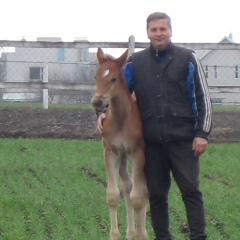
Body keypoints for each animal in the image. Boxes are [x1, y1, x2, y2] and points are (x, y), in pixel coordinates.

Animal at [92, 48, 148, 240]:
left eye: (114, 78)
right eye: (96, 77)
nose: (97, 102)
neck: (121, 119)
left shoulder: (137, 153)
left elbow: (138, 197)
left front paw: (140, 235)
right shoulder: (112, 152)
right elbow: (113, 194)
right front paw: (116, 235)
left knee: (144, 190)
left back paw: (141, 232)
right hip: (123, 158)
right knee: (127, 186)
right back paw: (130, 233)